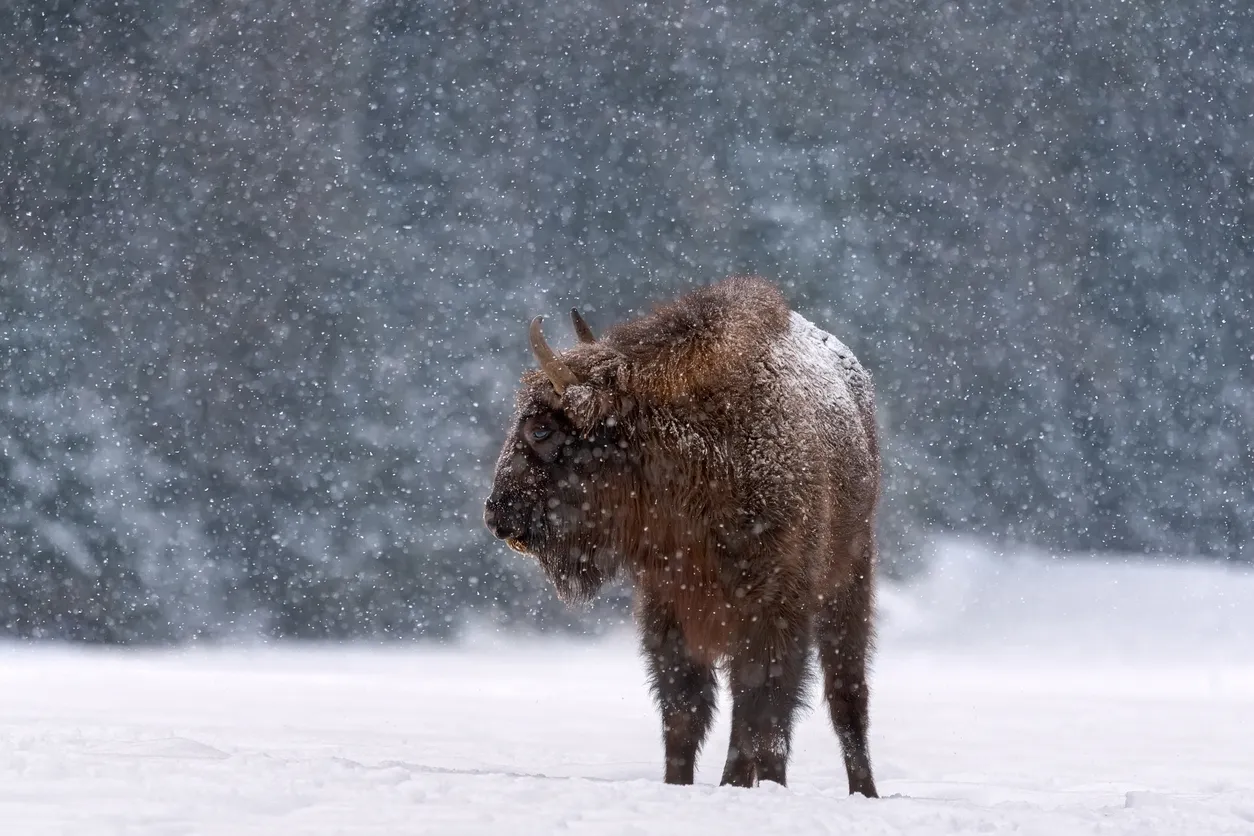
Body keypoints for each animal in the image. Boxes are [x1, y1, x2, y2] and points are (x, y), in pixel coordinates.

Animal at [483, 277, 880, 794]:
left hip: (849, 585)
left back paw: (860, 791)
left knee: (843, 695)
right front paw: (680, 785)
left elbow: (761, 706)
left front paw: (744, 787)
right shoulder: (668, 607)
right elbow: (684, 709)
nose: (495, 515)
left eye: (542, 429)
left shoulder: (772, 607)